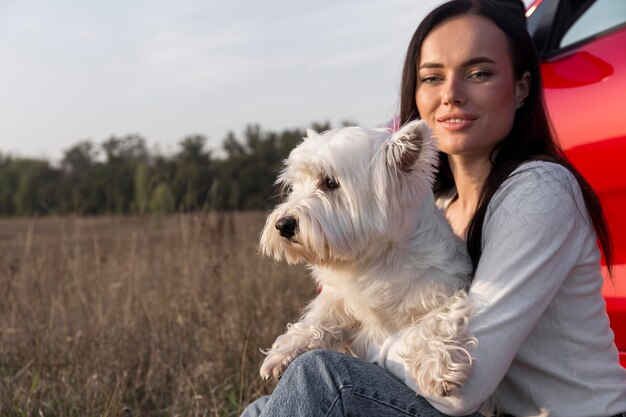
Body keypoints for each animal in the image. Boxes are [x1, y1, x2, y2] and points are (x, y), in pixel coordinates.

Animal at [258, 120, 472, 396]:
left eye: (330, 182)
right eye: (294, 186)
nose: (283, 225)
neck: (375, 262)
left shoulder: (443, 288)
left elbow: (437, 320)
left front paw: (436, 369)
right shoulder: (338, 296)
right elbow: (319, 317)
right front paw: (283, 352)